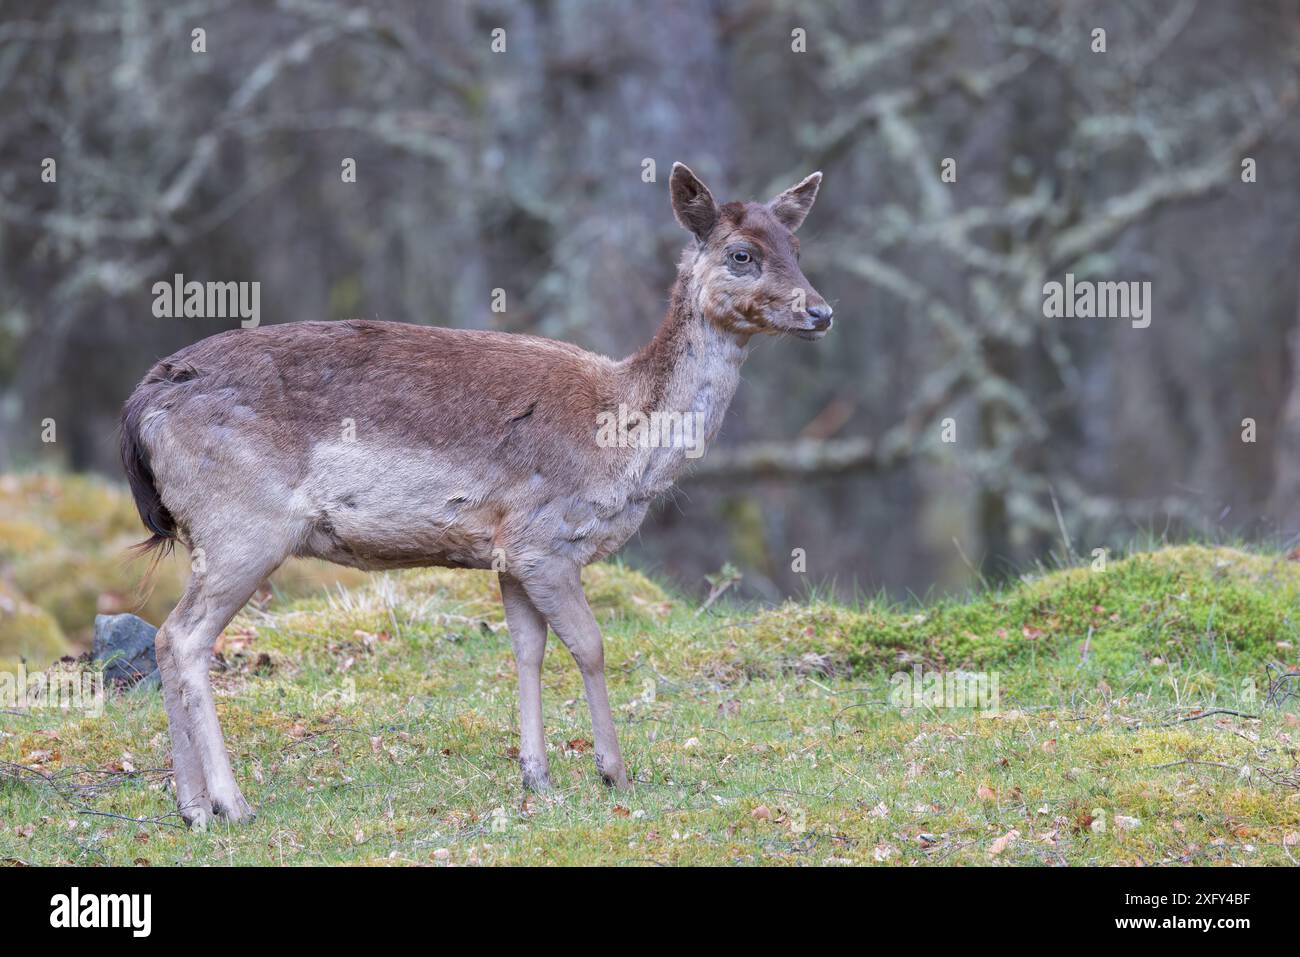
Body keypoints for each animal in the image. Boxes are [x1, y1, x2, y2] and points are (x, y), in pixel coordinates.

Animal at [120, 163, 832, 827]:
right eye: (742, 253)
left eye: (797, 246)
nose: (821, 311)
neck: (622, 441)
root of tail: (142, 405)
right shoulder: (544, 537)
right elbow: (591, 645)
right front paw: (614, 772)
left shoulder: (507, 550)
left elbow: (527, 650)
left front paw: (537, 775)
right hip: (242, 524)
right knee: (185, 637)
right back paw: (231, 805)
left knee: (165, 639)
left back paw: (191, 807)